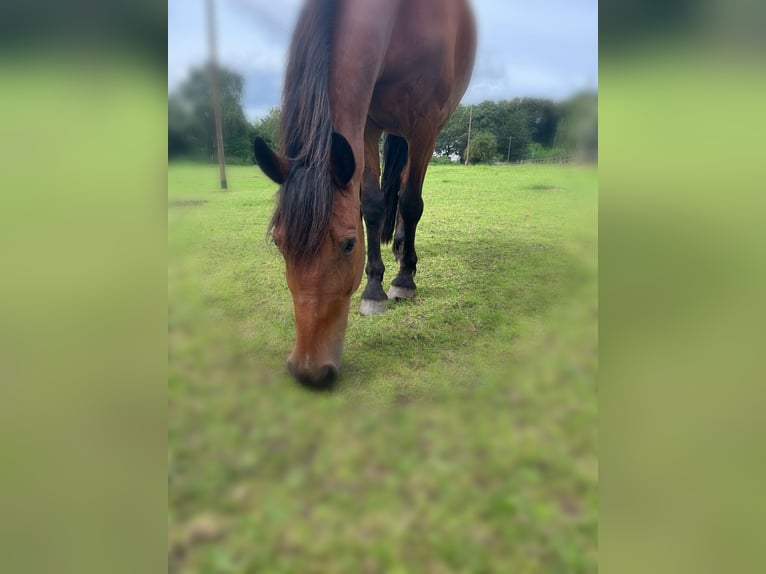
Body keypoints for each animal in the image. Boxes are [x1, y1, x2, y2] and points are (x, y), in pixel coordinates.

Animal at [255, 0, 476, 390]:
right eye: (279, 243)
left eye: (348, 245)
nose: (309, 370)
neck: (404, 20)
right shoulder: (369, 123)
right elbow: (372, 205)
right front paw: (374, 288)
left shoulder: (424, 124)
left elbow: (411, 202)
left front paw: (402, 282)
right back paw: (401, 248)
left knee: (407, 192)